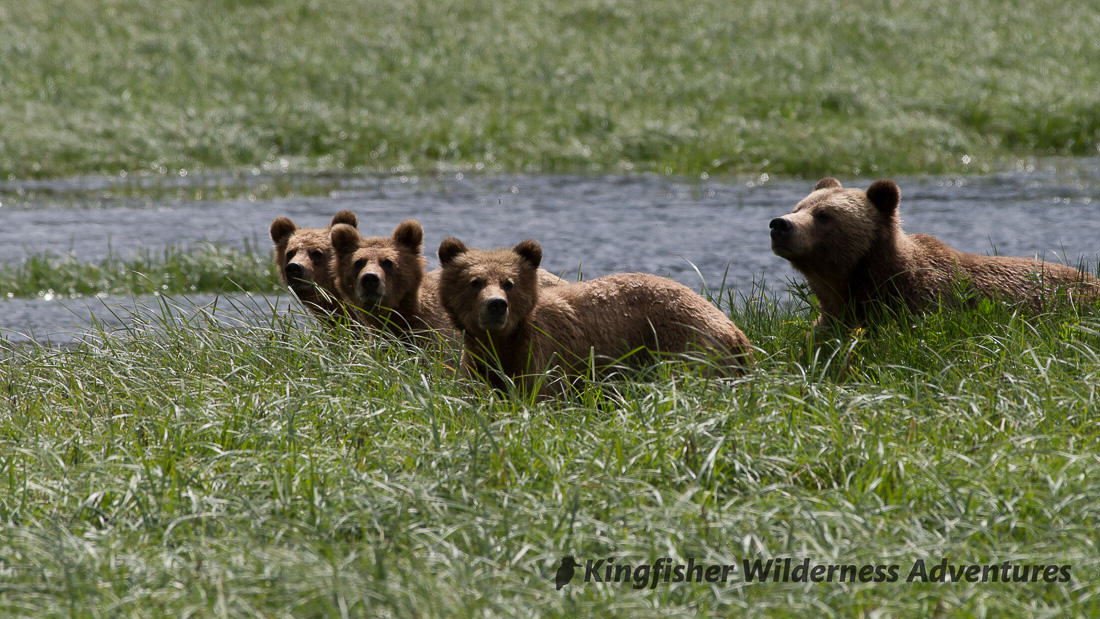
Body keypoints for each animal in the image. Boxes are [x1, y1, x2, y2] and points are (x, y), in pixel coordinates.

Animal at [437, 235, 756, 395]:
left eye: (509, 283)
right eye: (475, 281)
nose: (496, 304)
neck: (504, 341)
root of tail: (735, 330)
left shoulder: (544, 354)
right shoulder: (479, 362)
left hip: (688, 346)